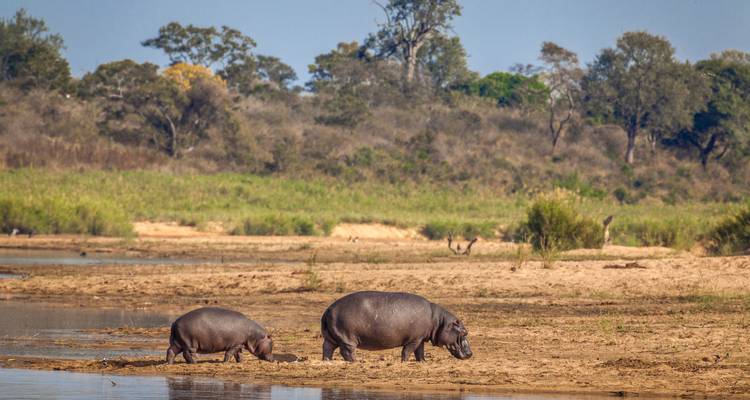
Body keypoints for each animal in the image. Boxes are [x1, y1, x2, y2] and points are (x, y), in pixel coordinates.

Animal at [321, 291, 472, 362]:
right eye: (464, 332)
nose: (470, 353)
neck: (439, 321)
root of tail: (328, 309)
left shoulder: (420, 339)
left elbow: (420, 352)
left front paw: (423, 362)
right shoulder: (414, 339)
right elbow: (407, 351)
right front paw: (404, 362)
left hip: (332, 337)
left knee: (327, 348)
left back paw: (327, 361)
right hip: (347, 338)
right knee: (347, 352)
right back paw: (355, 362)